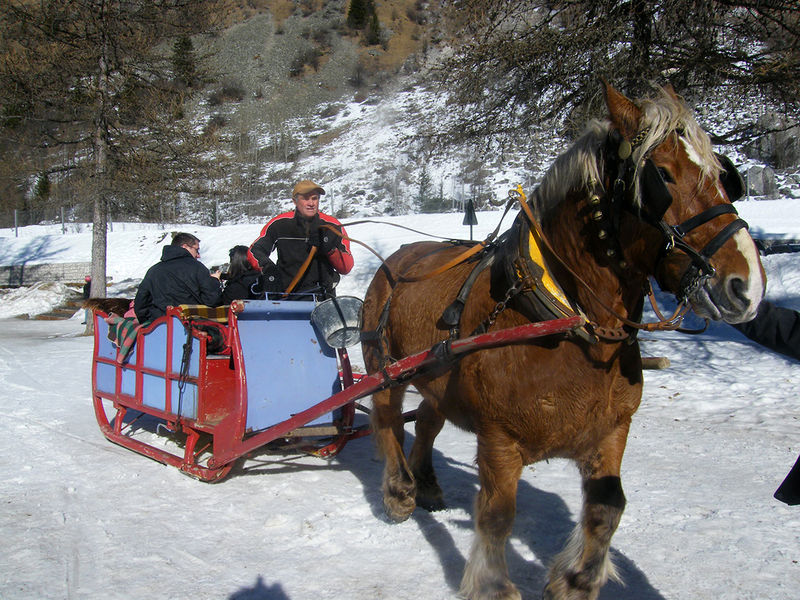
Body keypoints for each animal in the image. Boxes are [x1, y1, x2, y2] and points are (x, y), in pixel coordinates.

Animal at [360, 83, 765, 600]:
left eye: (723, 176)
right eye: (663, 176)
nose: (746, 286)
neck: (567, 321)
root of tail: (396, 259)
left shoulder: (611, 430)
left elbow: (608, 506)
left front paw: (576, 580)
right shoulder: (500, 440)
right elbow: (496, 516)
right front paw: (494, 585)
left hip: (437, 372)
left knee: (429, 419)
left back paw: (427, 484)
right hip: (386, 367)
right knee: (387, 417)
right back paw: (400, 491)